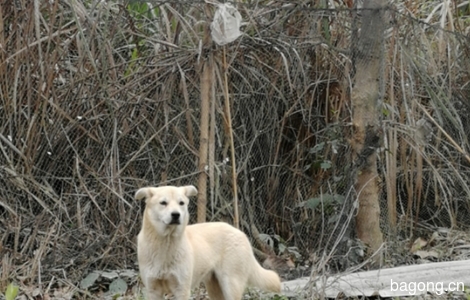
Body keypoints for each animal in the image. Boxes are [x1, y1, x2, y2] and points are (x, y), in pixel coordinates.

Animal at [135, 185, 282, 298]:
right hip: (215, 288)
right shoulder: (153, 290)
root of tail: (240, 232)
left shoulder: (181, 289)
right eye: (163, 203)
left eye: (181, 203)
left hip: (231, 285)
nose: (176, 215)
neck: (165, 244)